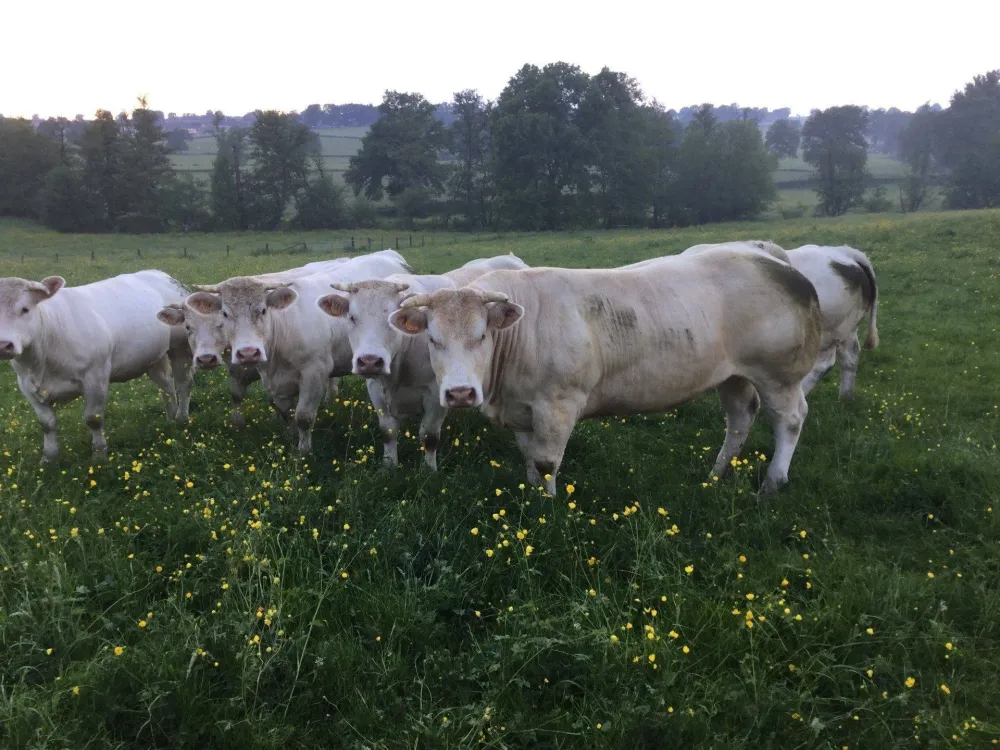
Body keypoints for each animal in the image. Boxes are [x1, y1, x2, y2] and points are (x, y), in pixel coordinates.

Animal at [0, 271, 193, 463]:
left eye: (25, 309)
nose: (4, 345)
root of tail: (161, 274)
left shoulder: (96, 377)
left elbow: (93, 419)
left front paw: (99, 454)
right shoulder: (26, 386)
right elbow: (47, 424)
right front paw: (49, 458)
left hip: (181, 349)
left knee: (183, 384)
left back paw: (181, 418)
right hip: (154, 358)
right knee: (166, 386)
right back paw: (170, 420)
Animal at [183, 251, 413, 454]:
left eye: (263, 310)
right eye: (224, 314)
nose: (248, 353)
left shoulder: (314, 372)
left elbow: (303, 417)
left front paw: (303, 451)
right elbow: (284, 411)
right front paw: (290, 435)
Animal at [387, 250, 822, 496]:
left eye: (482, 335)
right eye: (432, 339)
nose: (460, 393)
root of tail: (785, 269)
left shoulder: (558, 405)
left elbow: (547, 462)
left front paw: (548, 509)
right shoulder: (523, 409)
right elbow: (530, 458)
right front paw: (531, 498)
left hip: (779, 373)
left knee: (790, 419)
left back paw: (773, 483)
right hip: (735, 375)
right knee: (740, 419)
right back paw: (716, 475)